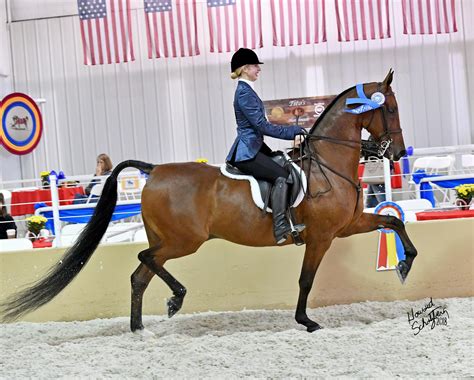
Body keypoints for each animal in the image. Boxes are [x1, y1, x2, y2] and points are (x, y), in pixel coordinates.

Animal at [0, 70, 416, 332]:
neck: (328, 163)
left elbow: (394, 221)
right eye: (391, 108)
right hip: (184, 241)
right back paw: (175, 300)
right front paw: (306, 321)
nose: (396, 152)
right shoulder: (322, 236)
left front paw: (404, 265)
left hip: (168, 239)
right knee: (145, 260)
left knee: (139, 275)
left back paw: (139, 329)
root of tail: (155, 170)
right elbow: (305, 280)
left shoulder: (347, 226)